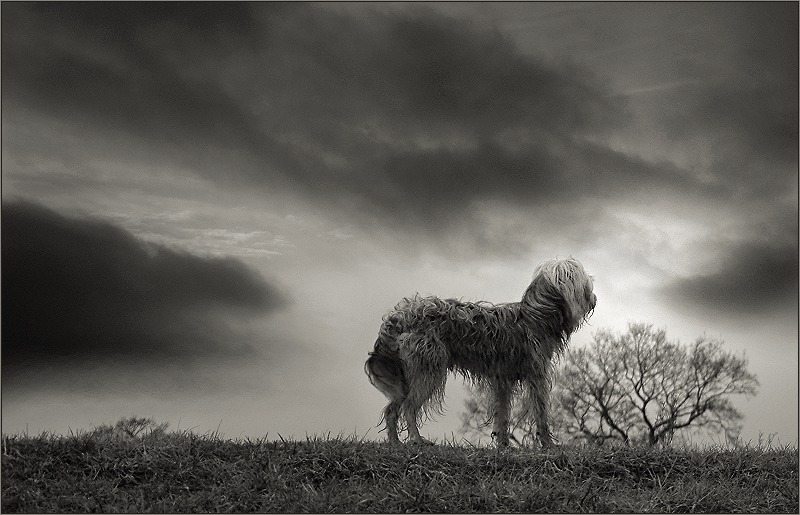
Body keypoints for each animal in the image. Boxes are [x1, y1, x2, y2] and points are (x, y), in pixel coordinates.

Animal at [366, 258, 596, 448]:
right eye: (586, 284)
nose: (594, 298)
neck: (536, 316)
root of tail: (400, 316)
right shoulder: (537, 376)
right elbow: (541, 413)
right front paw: (548, 444)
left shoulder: (503, 380)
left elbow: (502, 414)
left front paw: (503, 445)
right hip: (429, 371)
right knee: (409, 407)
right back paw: (416, 439)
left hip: (407, 378)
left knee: (392, 410)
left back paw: (395, 443)